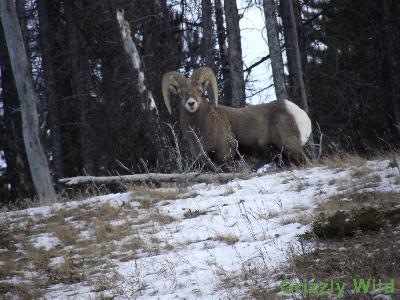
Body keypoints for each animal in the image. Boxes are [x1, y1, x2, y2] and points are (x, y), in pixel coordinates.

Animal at [162, 67, 312, 169]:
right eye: (181, 93)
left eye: (200, 91)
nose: (191, 103)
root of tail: (297, 112)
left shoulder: (225, 157)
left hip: (291, 148)